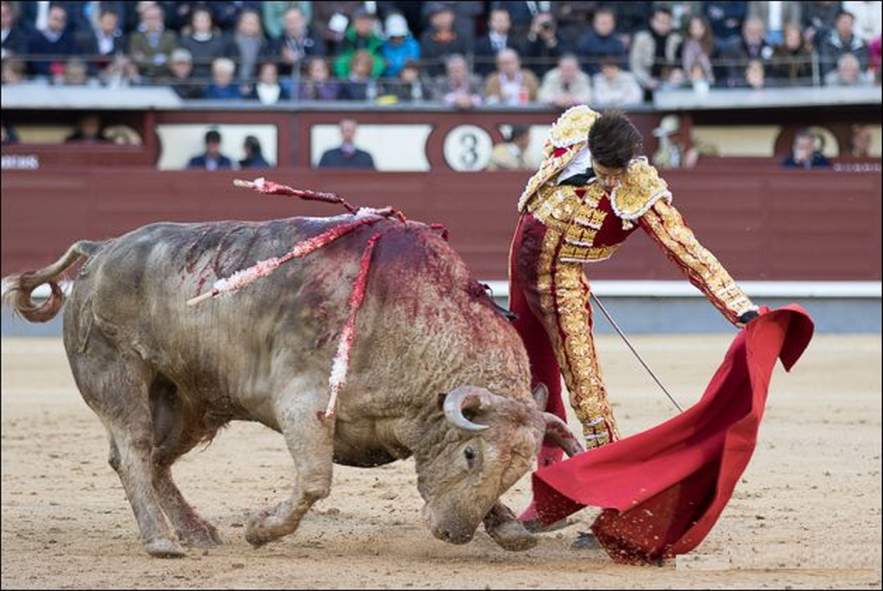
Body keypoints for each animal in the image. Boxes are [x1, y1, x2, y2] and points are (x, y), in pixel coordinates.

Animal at [3, 214, 584, 560]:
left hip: (189, 400)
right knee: (132, 451)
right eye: (469, 454)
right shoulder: (303, 406)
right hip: (117, 373)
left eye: (519, 469)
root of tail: (101, 249)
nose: (453, 533)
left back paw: (196, 531)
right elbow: (314, 483)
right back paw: (162, 540)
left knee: (156, 460)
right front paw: (261, 529)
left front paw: (508, 527)